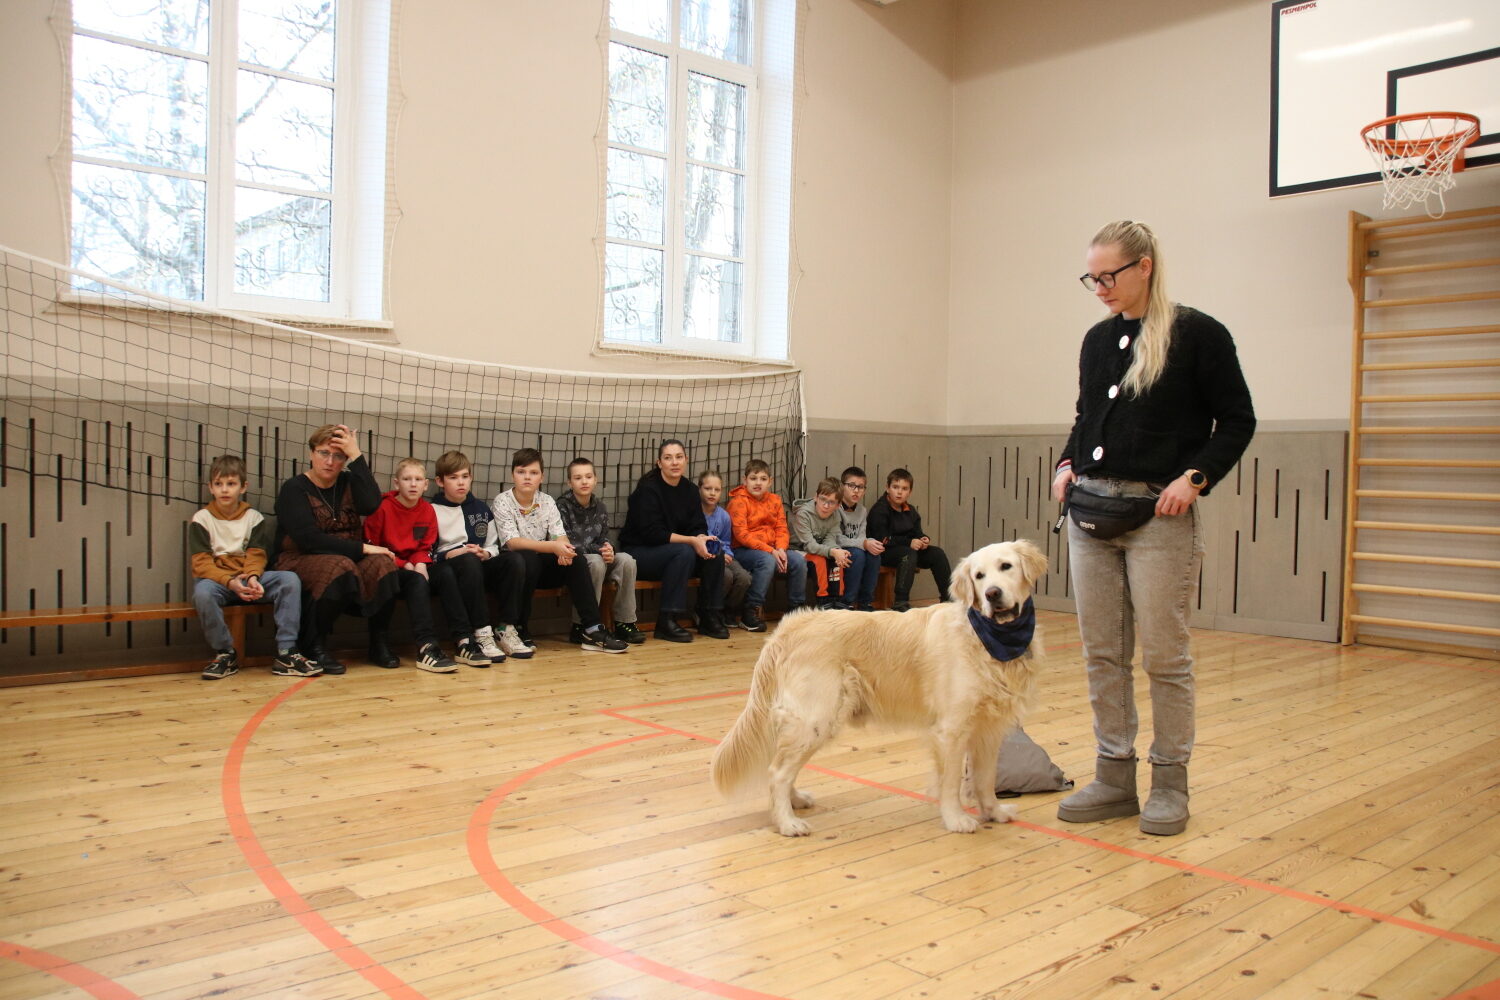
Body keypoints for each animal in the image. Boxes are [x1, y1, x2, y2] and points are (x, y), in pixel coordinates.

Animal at [710, 539, 1048, 836]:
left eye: (1006, 566)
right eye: (979, 576)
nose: (992, 594)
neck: (988, 638)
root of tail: (790, 626)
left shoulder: (988, 730)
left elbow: (985, 779)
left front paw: (994, 812)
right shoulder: (951, 729)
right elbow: (951, 782)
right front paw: (956, 820)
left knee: (783, 766)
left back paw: (795, 802)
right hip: (816, 718)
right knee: (777, 772)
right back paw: (787, 823)